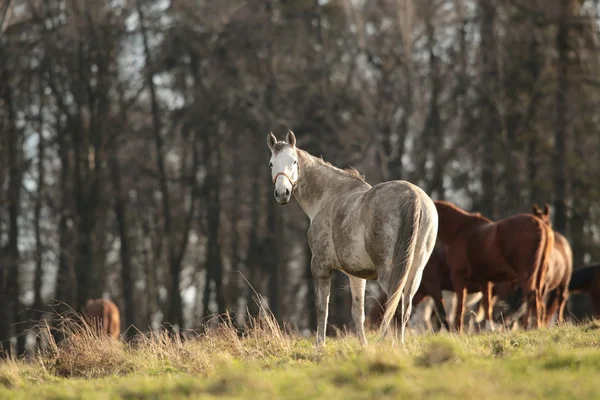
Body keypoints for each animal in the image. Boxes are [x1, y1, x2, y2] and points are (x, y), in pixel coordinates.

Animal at [266, 131, 436, 346]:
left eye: (294, 161)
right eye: (272, 163)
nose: (282, 193)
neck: (328, 197)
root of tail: (411, 194)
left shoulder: (320, 266)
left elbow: (322, 308)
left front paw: (319, 346)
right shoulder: (357, 274)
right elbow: (358, 312)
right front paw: (364, 346)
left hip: (390, 272)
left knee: (394, 305)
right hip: (415, 271)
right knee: (405, 309)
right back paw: (401, 346)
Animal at [432, 202, 552, 332]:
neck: (460, 231)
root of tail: (541, 226)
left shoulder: (459, 277)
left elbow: (460, 306)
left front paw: (458, 331)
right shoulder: (484, 280)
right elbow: (487, 305)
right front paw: (489, 328)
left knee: (531, 296)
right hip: (539, 274)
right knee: (538, 298)